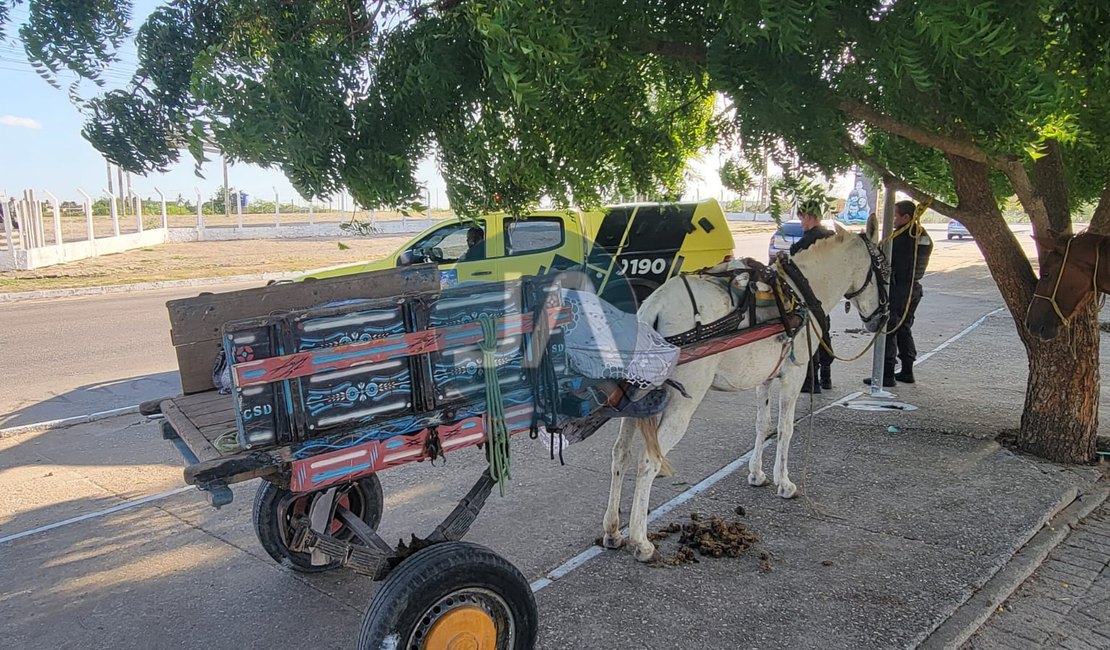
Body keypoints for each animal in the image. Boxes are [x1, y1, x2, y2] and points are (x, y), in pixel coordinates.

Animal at [603, 219, 888, 559]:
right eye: (885, 267)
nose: (882, 318)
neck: (802, 292)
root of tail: (653, 307)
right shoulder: (794, 374)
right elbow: (786, 428)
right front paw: (784, 482)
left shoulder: (765, 376)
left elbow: (762, 424)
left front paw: (757, 473)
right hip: (681, 403)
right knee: (648, 460)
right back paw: (640, 540)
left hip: (636, 398)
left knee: (620, 453)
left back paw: (613, 530)